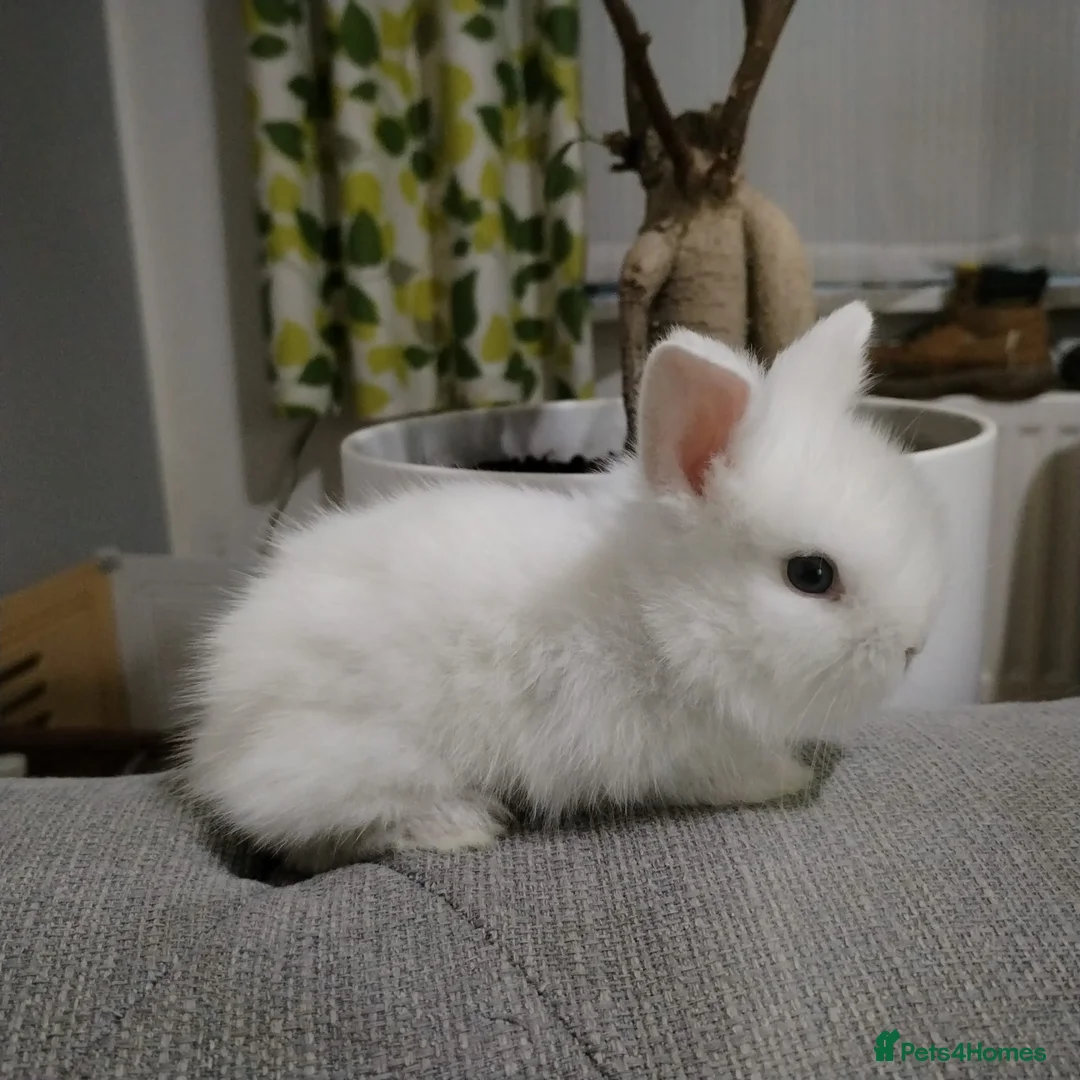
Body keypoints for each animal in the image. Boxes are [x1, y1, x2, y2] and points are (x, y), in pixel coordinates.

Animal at [180, 301, 945, 873]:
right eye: (810, 575)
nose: (914, 647)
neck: (655, 618)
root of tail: (219, 727)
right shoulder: (682, 754)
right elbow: (735, 773)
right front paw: (789, 779)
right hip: (361, 757)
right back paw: (463, 824)